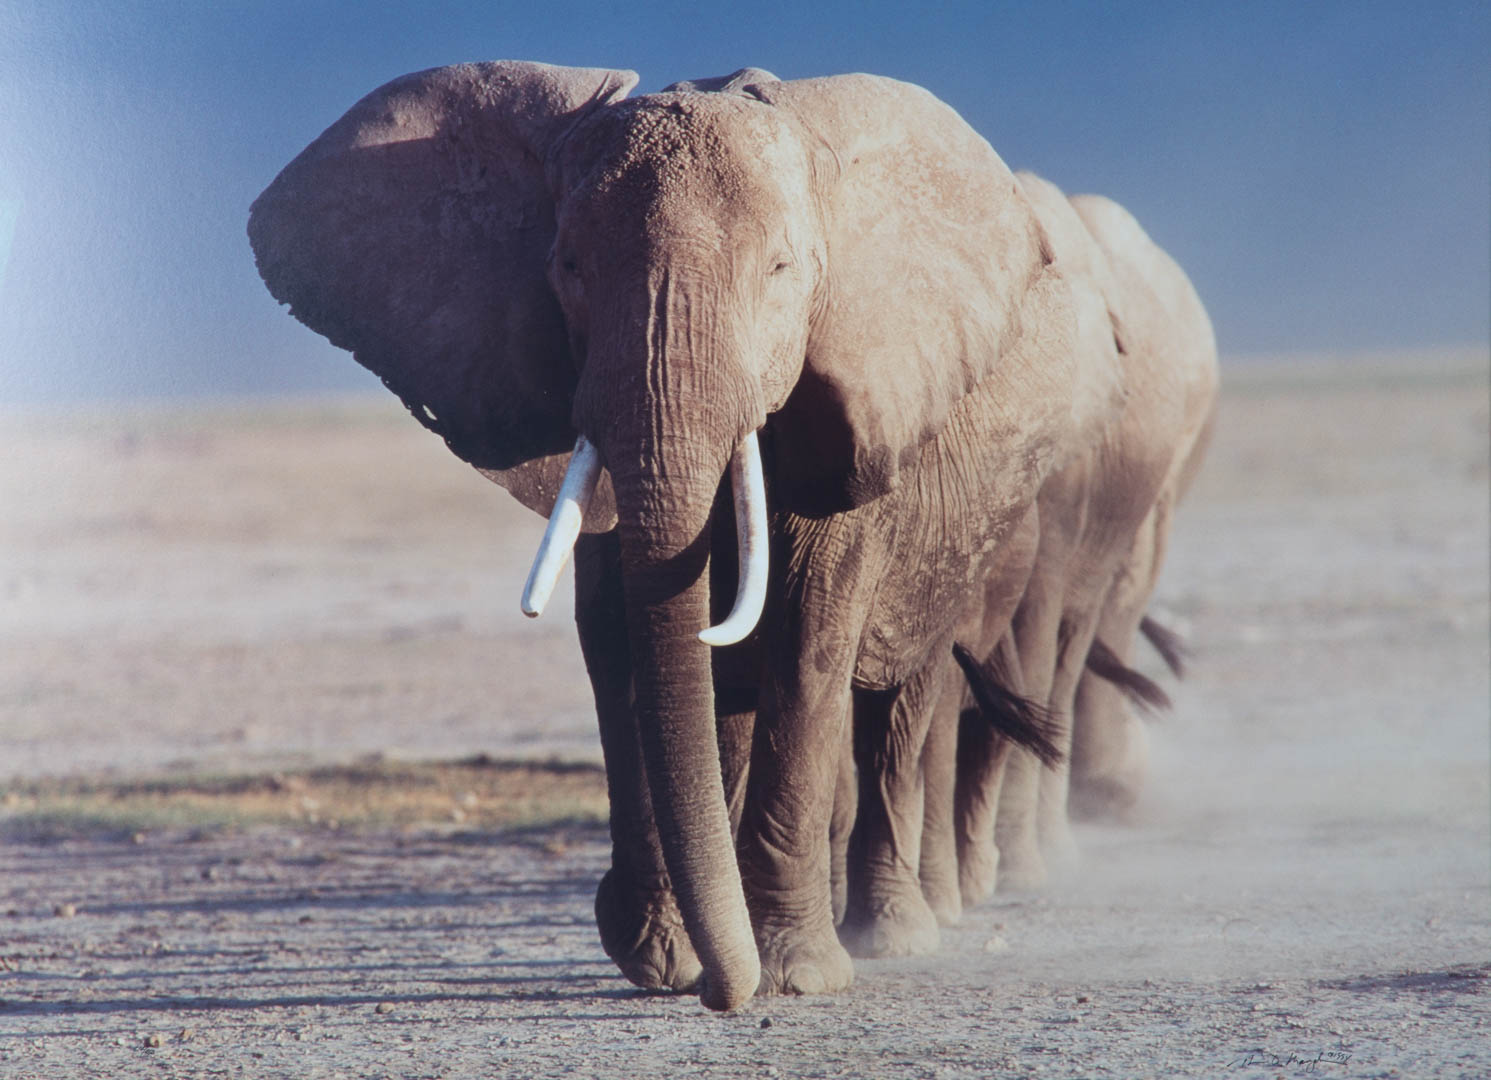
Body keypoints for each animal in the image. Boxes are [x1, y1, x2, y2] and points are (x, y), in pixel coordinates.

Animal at [250, 58, 1127, 1008]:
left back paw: (891, 935)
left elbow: (810, 637)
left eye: (781, 269)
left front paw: (793, 975)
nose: (719, 993)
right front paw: (661, 960)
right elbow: (620, 636)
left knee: (902, 694)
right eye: (567, 266)